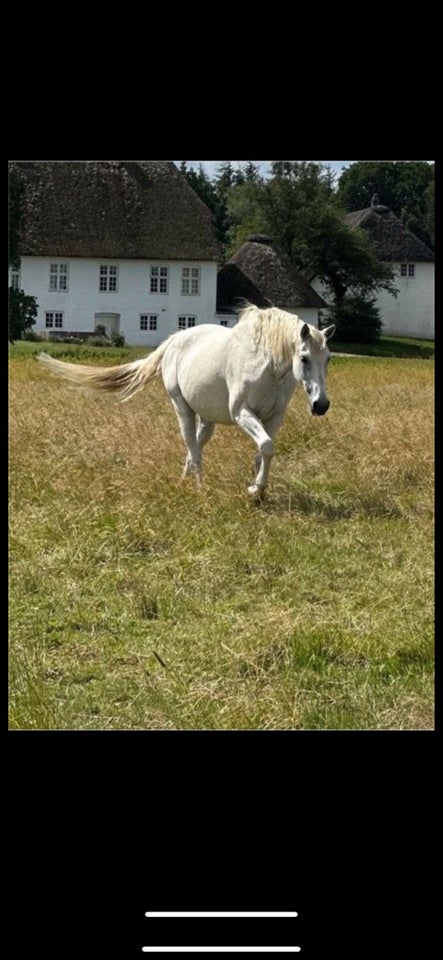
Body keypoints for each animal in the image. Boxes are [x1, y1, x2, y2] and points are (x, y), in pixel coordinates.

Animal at [39, 306, 336, 502]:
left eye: (328, 358)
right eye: (304, 358)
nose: (321, 405)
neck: (267, 365)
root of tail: (174, 340)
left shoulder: (274, 417)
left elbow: (264, 451)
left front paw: (257, 488)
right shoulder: (241, 413)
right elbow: (266, 446)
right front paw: (255, 490)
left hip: (207, 417)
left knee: (195, 446)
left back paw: (186, 480)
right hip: (182, 407)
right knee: (191, 445)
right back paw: (198, 486)